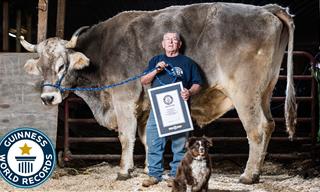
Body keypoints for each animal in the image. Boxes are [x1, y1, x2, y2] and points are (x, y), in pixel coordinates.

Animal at [19, 2, 296, 183]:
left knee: (257, 128)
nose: (48, 98)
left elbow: (126, 137)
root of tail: (266, 9)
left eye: (61, 65)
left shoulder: (123, 99)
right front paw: (147, 169)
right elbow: (146, 138)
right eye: (41, 67)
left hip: (245, 94)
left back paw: (249, 174)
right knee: (270, 124)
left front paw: (124, 170)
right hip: (264, 92)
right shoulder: (144, 107)